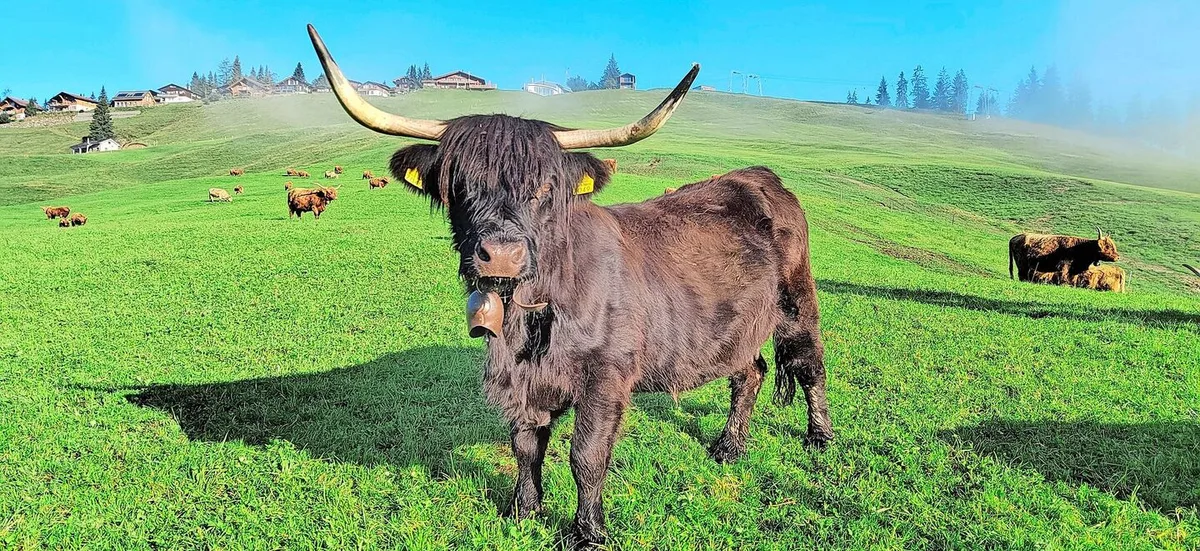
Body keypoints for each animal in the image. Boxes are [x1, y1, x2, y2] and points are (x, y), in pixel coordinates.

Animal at [309, 25, 832, 547]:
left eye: (545, 189)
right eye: (461, 185)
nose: (502, 254)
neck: (530, 316)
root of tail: (758, 175)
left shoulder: (606, 375)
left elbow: (587, 454)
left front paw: (587, 531)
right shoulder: (522, 380)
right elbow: (525, 444)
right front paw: (523, 510)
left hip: (796, 301)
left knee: (808, 365)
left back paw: (819, 437)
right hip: (736, 327)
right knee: (750, 372)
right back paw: (729, 445)